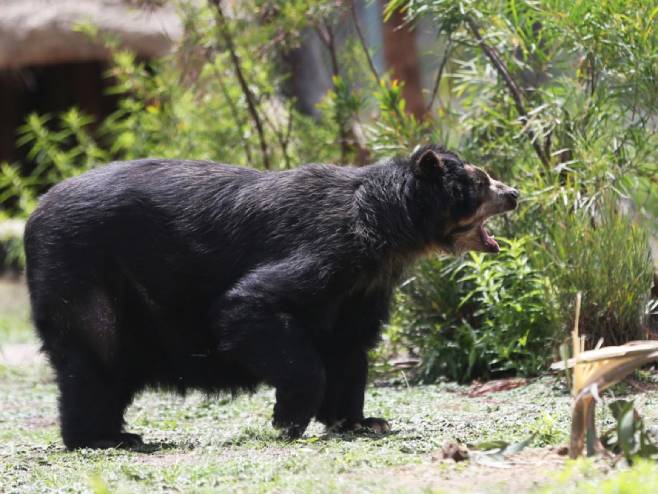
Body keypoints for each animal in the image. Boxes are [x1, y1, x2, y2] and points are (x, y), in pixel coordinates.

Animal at [24, 145, 516, 450]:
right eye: (480, 182)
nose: (514, 193)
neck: (387, 234)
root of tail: (34, 213)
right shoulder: (328, 250)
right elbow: (249, 305)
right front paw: (288, 420)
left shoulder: (362, 286)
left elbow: (349, 348)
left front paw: (361, 421)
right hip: (83, 274)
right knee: (95, 355)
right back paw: (97, 438)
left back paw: (118, 435)